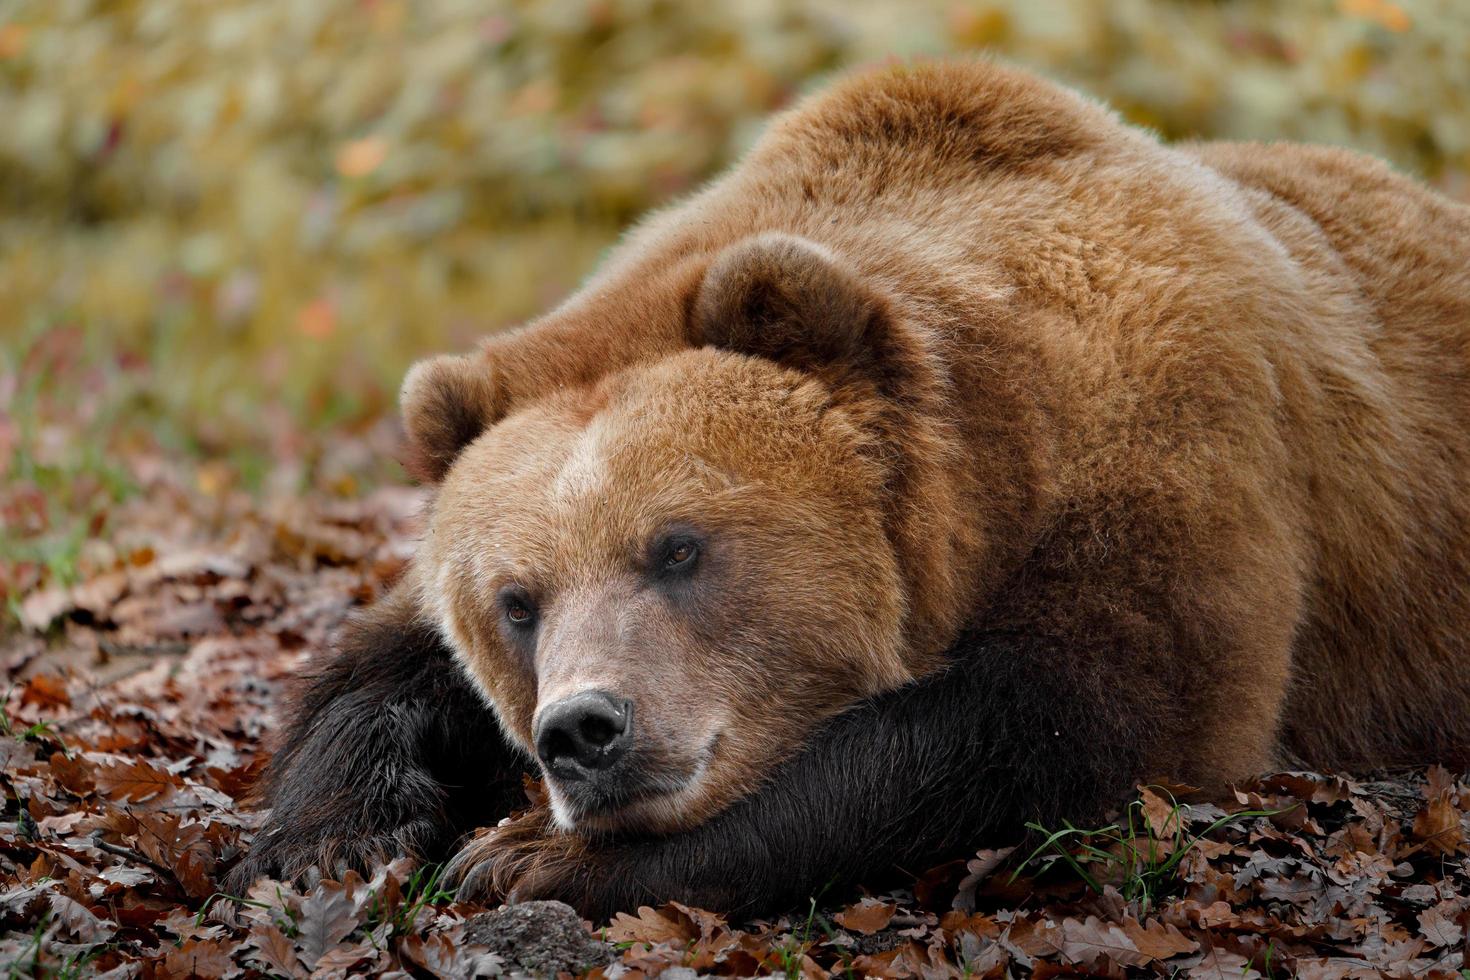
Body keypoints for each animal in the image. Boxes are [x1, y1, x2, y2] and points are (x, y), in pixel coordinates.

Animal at [229, 61, 1470, 922]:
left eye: (678, 546)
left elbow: (1051, 722)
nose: (583, 728)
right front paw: (343, 835)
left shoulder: (1164, 462)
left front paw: (529, 851)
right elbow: (379, 664)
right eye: (516, 601)